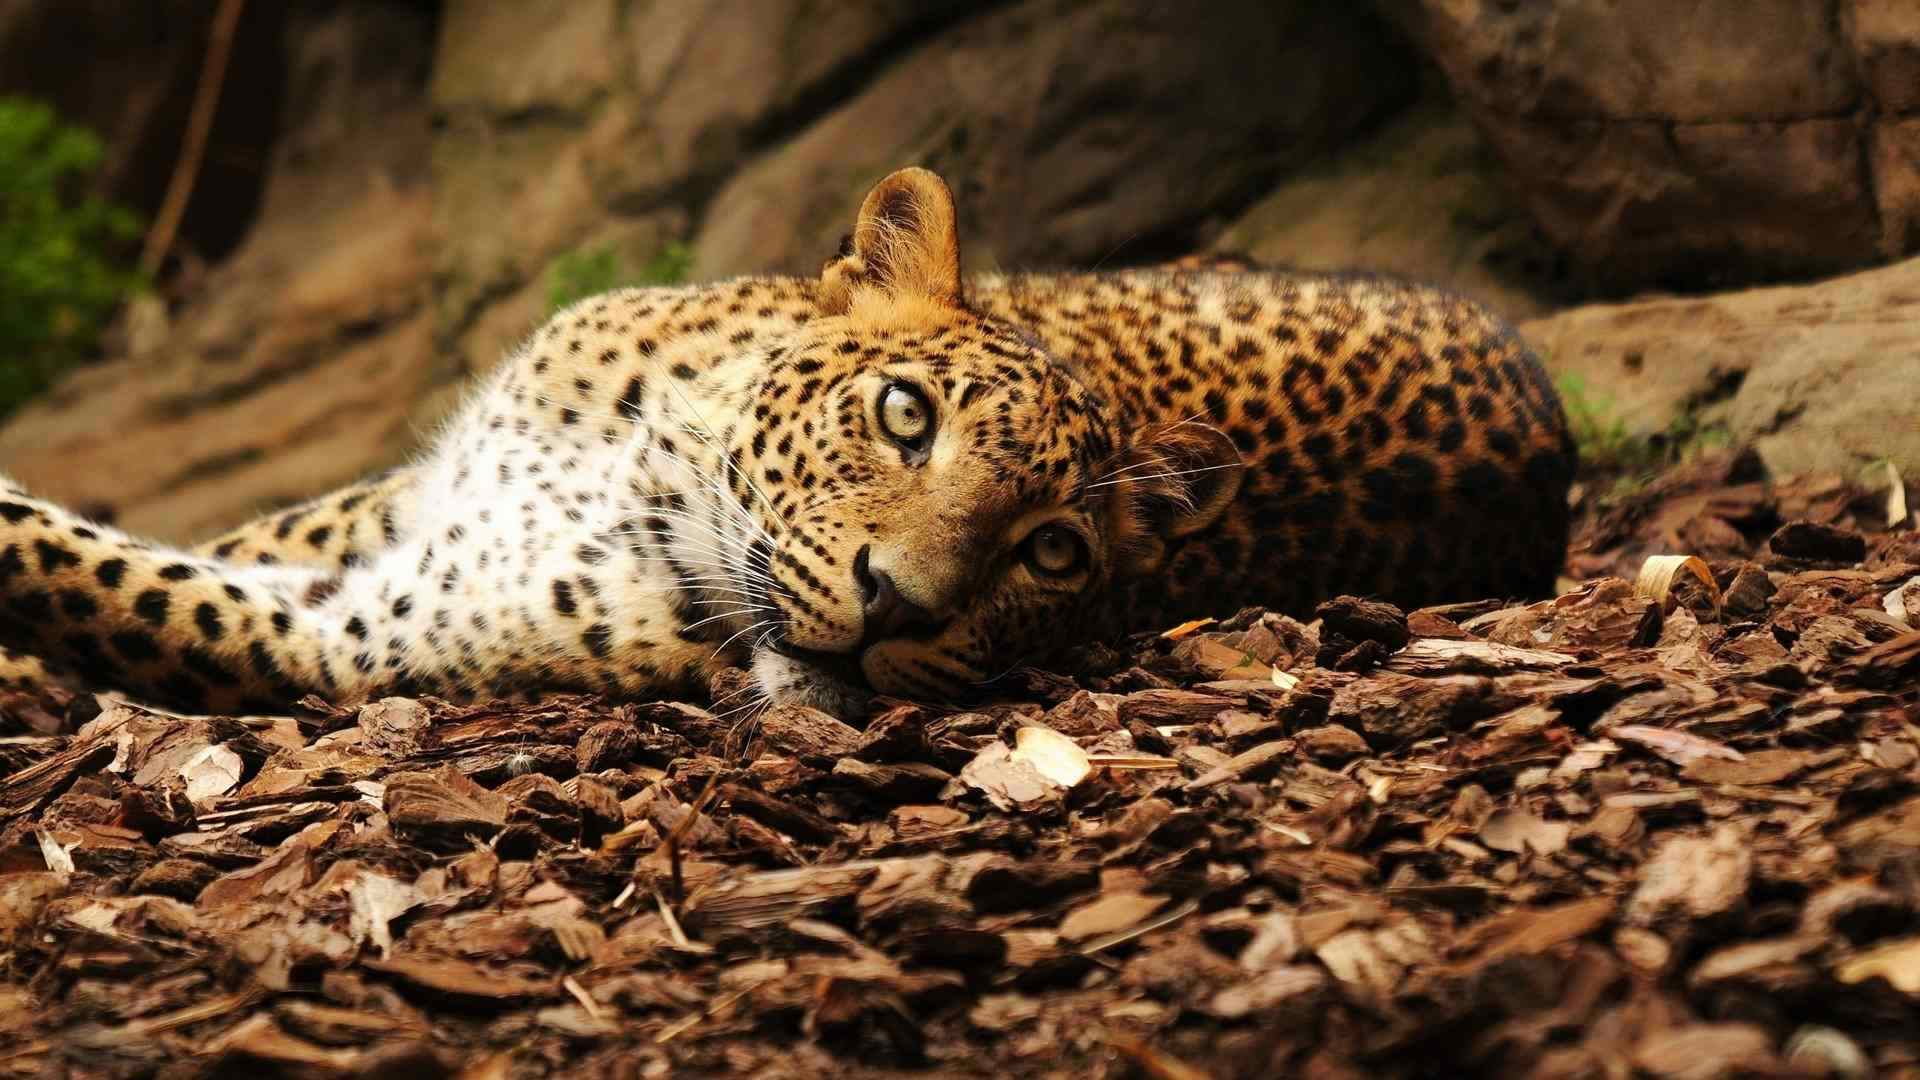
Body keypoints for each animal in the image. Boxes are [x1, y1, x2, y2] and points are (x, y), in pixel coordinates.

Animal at [0, 167, 1574, 719]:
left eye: (1052, 554)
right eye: (905, 416)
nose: (901, 612)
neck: (642, 469)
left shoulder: (350, 638)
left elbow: (87, 572)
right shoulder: (408, 500)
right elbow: (226, 532)